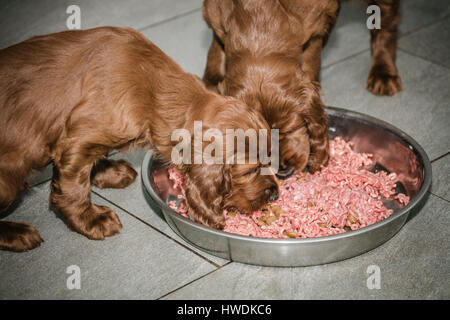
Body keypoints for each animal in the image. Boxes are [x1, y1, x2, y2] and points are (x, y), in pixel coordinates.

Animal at [0, 26, 278, 252]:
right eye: (251, 170)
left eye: (269, 160)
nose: (275, 195)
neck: (151, 89)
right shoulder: (76, 141)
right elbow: (73, 189)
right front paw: (92, 220)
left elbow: (96, 157)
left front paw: (109, 172)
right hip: (9, 175)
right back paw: (16, 234)